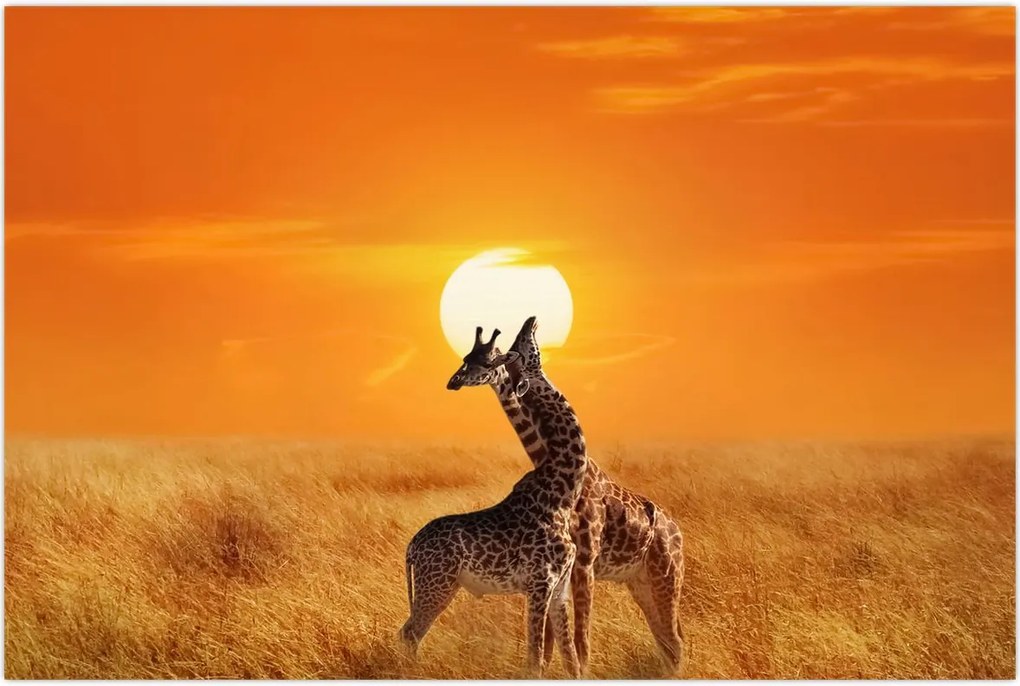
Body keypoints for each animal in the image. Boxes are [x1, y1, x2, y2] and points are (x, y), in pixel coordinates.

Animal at [399, 327, 589, 678]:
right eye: (523, 349)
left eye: (485, 360)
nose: (454, 381)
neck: (562, 494)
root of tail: (412, 547)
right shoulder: (539, 583)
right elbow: (535, 658)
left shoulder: (560, 589)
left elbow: (570, 659)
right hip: (438, 583)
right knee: (409, 633)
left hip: (440, 583)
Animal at [471, 316, 686, 677]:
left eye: (516, 349)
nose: (530, 321)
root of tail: (678, 532)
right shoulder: (560, 565)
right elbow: (551, 642)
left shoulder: (584, 562)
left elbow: (579, 640)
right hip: (640, 582)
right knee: (667, 639)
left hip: (667, 577)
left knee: (675, 639)